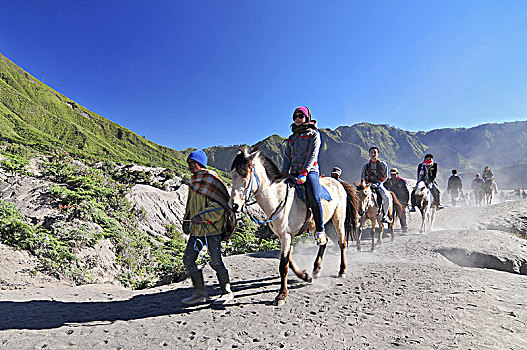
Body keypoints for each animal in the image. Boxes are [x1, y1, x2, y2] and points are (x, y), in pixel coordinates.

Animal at [229, 146, 356, 304]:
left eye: (245, 175)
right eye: (232, 175)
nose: (234, 205)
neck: (278, 198)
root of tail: (337, 182)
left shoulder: (286, 236)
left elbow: (283, 265)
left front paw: (281, 294)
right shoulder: (284, 236)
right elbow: (288, 259)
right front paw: (305, 276)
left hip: (338, 219)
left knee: (342, 243)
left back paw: (342, 270)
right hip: (323, 224)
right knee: (324, 241)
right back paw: (316, 269)